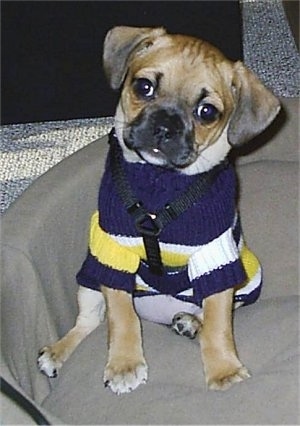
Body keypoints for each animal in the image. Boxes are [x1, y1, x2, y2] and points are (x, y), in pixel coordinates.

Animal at [38, 25, 282, 392]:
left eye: (207, 112)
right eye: (144, 87)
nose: (165, 127)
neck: (160, 181)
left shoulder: (215, 258)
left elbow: (219, 326)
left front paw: (223, 370)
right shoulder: (114, 252)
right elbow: (121, 318)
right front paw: (124, 364)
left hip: (247, 280)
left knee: (206, 315)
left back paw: (190, 322)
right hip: (90, 275)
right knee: (90, 321)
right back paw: (57, 351)